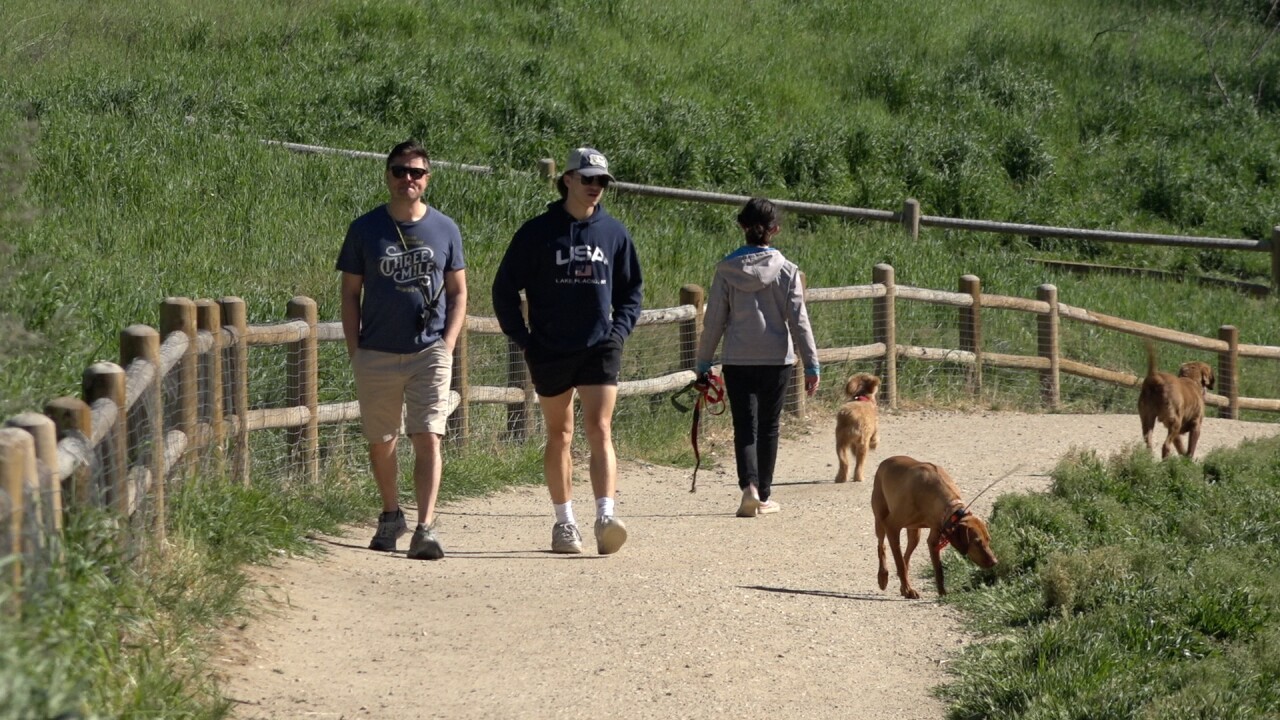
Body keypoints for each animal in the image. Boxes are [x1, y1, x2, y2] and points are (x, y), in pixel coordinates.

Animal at [870, 453, 998, 599]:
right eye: (977, 542)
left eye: (988, 540)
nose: (995, 562)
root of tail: (886, 461)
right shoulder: (892, 527)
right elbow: (899, 564)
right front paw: (907, 589)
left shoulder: (938, 531)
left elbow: (938, 570)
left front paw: (942, 593)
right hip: (880, 520)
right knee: (882, 546)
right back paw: (883, 577)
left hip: (915, 533)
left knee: (906, 557)